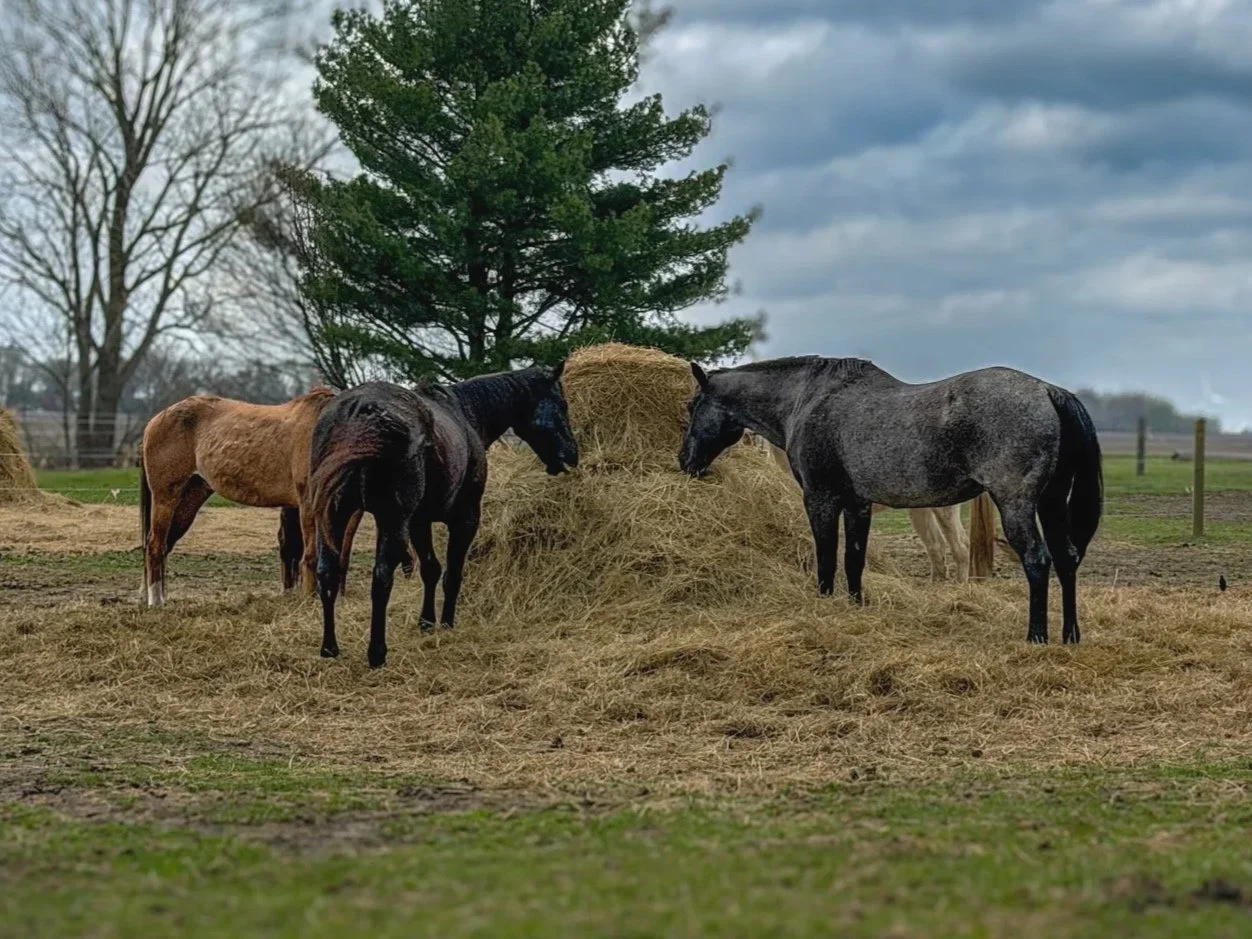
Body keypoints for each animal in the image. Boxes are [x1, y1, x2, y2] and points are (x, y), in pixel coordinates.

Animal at [308, 363, 579, 668]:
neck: (464, 413)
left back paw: (329, 647)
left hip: (334, 516)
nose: (572, 455)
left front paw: (426, 623)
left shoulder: (419, 522)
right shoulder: (465, 519)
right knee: (381, 579)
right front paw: (447, 623)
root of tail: (358, 409)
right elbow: (453, 573)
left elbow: (431, 569)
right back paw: (377, 653)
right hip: (392, 521)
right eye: (563, 404)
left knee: (327, 573)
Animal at [679, 356, 1102, 645]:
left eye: (690, 406)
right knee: (1066, 558)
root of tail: (1047, 391)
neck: (808, 399)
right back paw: (1070, 635)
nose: (685, 461)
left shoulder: (821, 500)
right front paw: (855, 607)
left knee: (1037, 559)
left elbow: (827, 558)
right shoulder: (858, 504)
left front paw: (823, 606)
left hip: (1015, 504)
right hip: (1049, 503)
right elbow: (854, 560)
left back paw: (1036, 636)